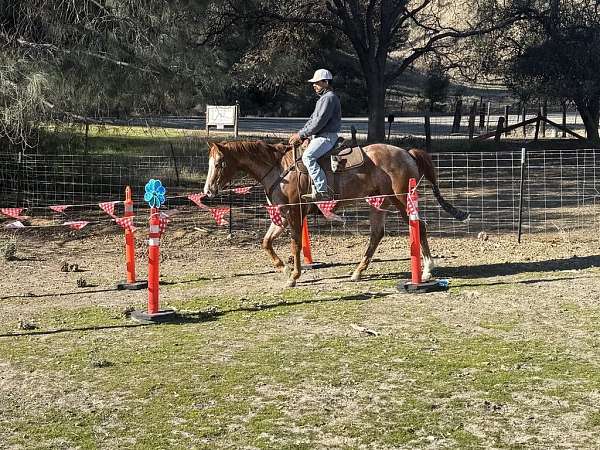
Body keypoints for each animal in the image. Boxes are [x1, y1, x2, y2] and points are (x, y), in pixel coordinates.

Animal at [203, 141, 468, 286]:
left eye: (218, 163)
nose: (207, 191)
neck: (279, 169)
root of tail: (407, 153)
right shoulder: (281, 215)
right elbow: (266, 242)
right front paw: (284, 269)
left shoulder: (294, 214)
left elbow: (295, 244)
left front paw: (294, 275)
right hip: (380, 202)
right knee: (377, 234)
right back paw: (358, 272)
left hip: (402, 200)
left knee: (419, 226)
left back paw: (427, 269)